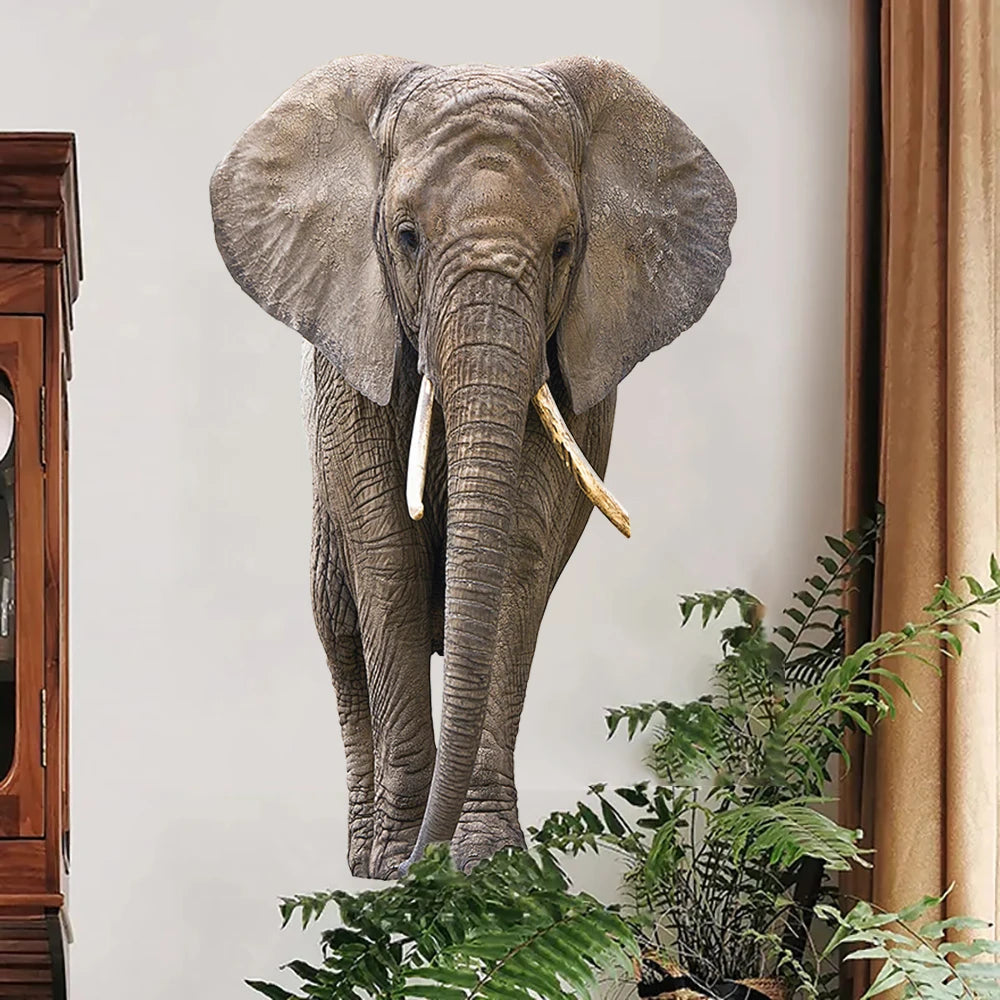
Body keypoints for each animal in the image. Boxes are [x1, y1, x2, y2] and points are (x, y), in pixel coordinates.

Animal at [209, 55, 735, 880]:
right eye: (407, 237)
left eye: (564, 246)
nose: (421, 861)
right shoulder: (352, 349)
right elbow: (386, 555)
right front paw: (402, 862)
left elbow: (519, 550)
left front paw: (488, 862)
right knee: (336, 617)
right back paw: (362, 858)